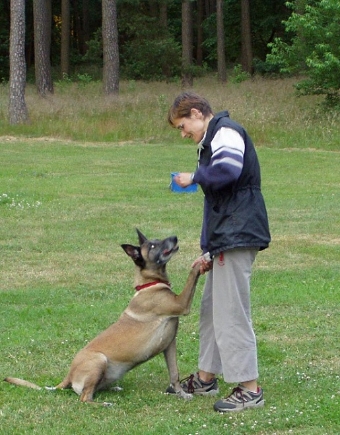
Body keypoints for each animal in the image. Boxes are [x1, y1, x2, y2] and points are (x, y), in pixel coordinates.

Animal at [3, 232, 201, 406]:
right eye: (153, 246)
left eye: (158, 240)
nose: (174, 237)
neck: (149, 284)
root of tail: (69, 375)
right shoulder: (181, 304)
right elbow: (192, 275)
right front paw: (202, 260)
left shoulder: (169, 345)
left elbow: (174, 374)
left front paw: (182, 394)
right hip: (99, 361)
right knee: (84, 398)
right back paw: (104, 403)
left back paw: (113, 389)